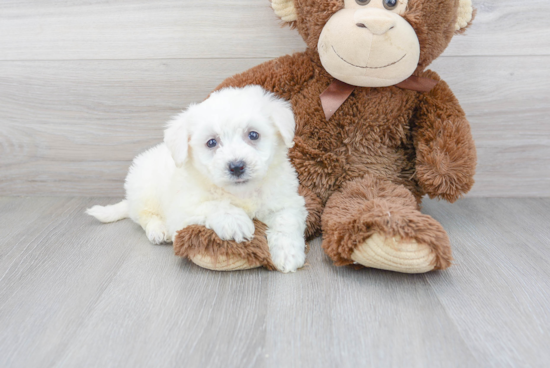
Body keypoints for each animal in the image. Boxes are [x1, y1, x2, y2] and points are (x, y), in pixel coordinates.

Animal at [88, 85, 308, 272]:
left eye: (253, 135)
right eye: (211, 142)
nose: (236, 166)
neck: (240, 193)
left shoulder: (287, 200)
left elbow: (286, 221)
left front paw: (288, 253)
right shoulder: (181, 209)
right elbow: (212, 204)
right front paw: (235, 221)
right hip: (143, 189)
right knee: (145, 216)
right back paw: (158, 230)